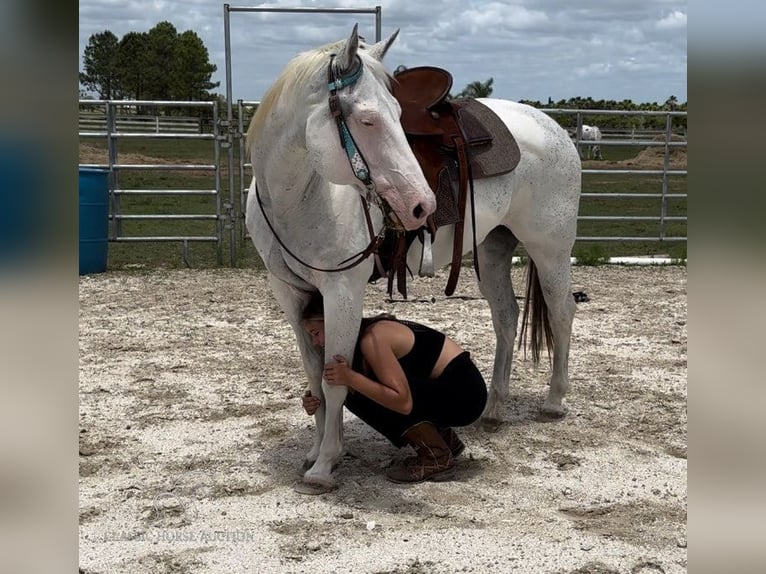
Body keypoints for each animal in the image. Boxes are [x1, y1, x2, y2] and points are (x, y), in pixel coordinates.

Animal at [246, 28, 584, 496]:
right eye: (368, 120)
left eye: (397, 113)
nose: (422, 206)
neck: (301, 196)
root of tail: (554, 129)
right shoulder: (291, 294)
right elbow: (314, 376)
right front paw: (315, 452)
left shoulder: (342, 292)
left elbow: (336, 381)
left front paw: (326, 464)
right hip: (493, 249)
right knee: (506, 316)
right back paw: (494, 409)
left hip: (549, 249)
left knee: (561, 311)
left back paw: (554, 401)